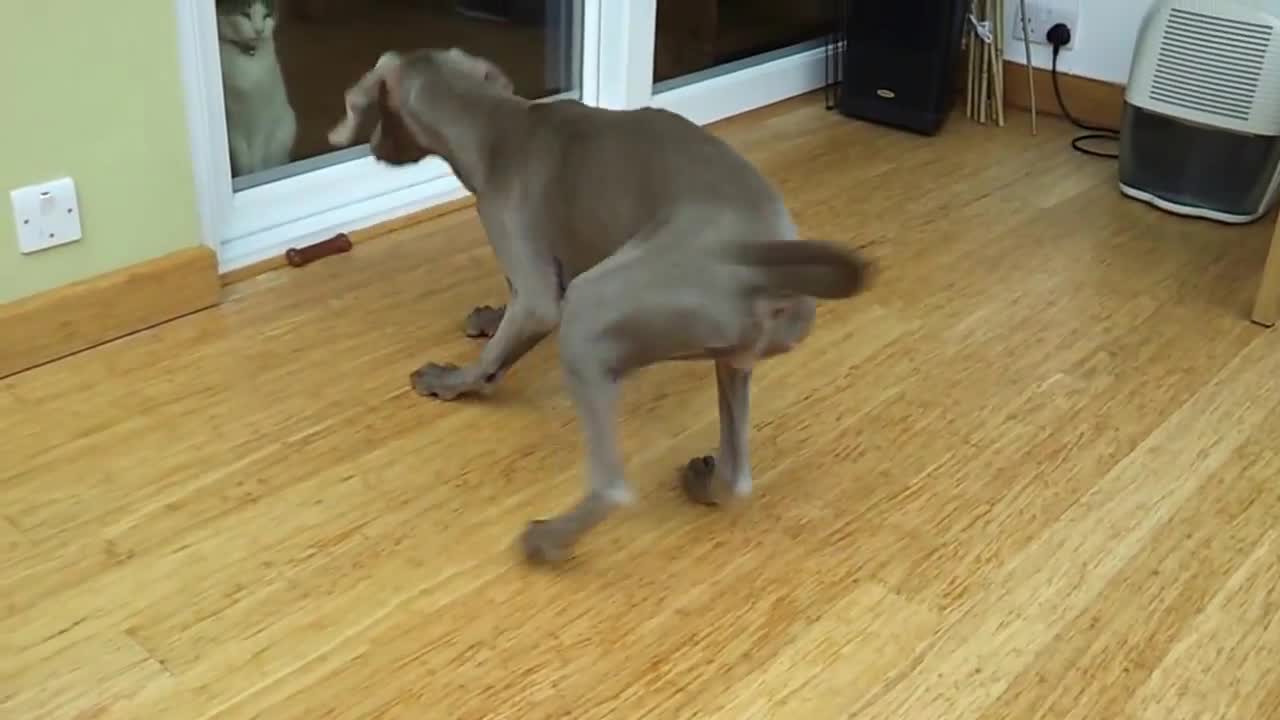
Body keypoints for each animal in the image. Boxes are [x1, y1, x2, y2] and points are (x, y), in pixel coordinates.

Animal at [220, 0, 302, 176]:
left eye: (266, 15)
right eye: (245, 14)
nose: (259, 30)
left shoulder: (262, 117)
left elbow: (257, 155)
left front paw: (256, 172)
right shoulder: (232, 123)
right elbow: (242, 159)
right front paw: (246, 173)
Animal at [325, 47, 875, 563]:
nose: (373, 150)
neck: (496, 124)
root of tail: (759, 263)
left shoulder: (538, 288)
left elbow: (509, 333)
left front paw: (452, 381)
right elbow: (515, 302)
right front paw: (489, 319)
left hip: (591, 312)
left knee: (612, 486)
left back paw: (548, 539)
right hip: (732, 357)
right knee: (738, 476)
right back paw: (705, 480)